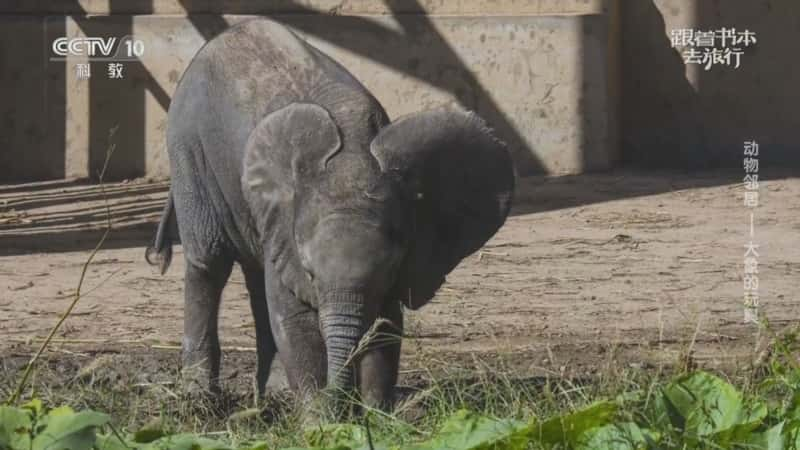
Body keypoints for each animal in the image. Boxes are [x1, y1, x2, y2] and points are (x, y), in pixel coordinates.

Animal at [145, 17, 512, 410]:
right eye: (311, 273)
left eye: (390, 269)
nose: (342, 400)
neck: (350, 157)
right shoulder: (286, 222)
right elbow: (296, 320)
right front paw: (320, 417)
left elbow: (385, 324)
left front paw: (375, 415)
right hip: (188, 149)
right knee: (209, 261)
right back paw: (200, 398)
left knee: (256, 274)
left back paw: (275, 394)